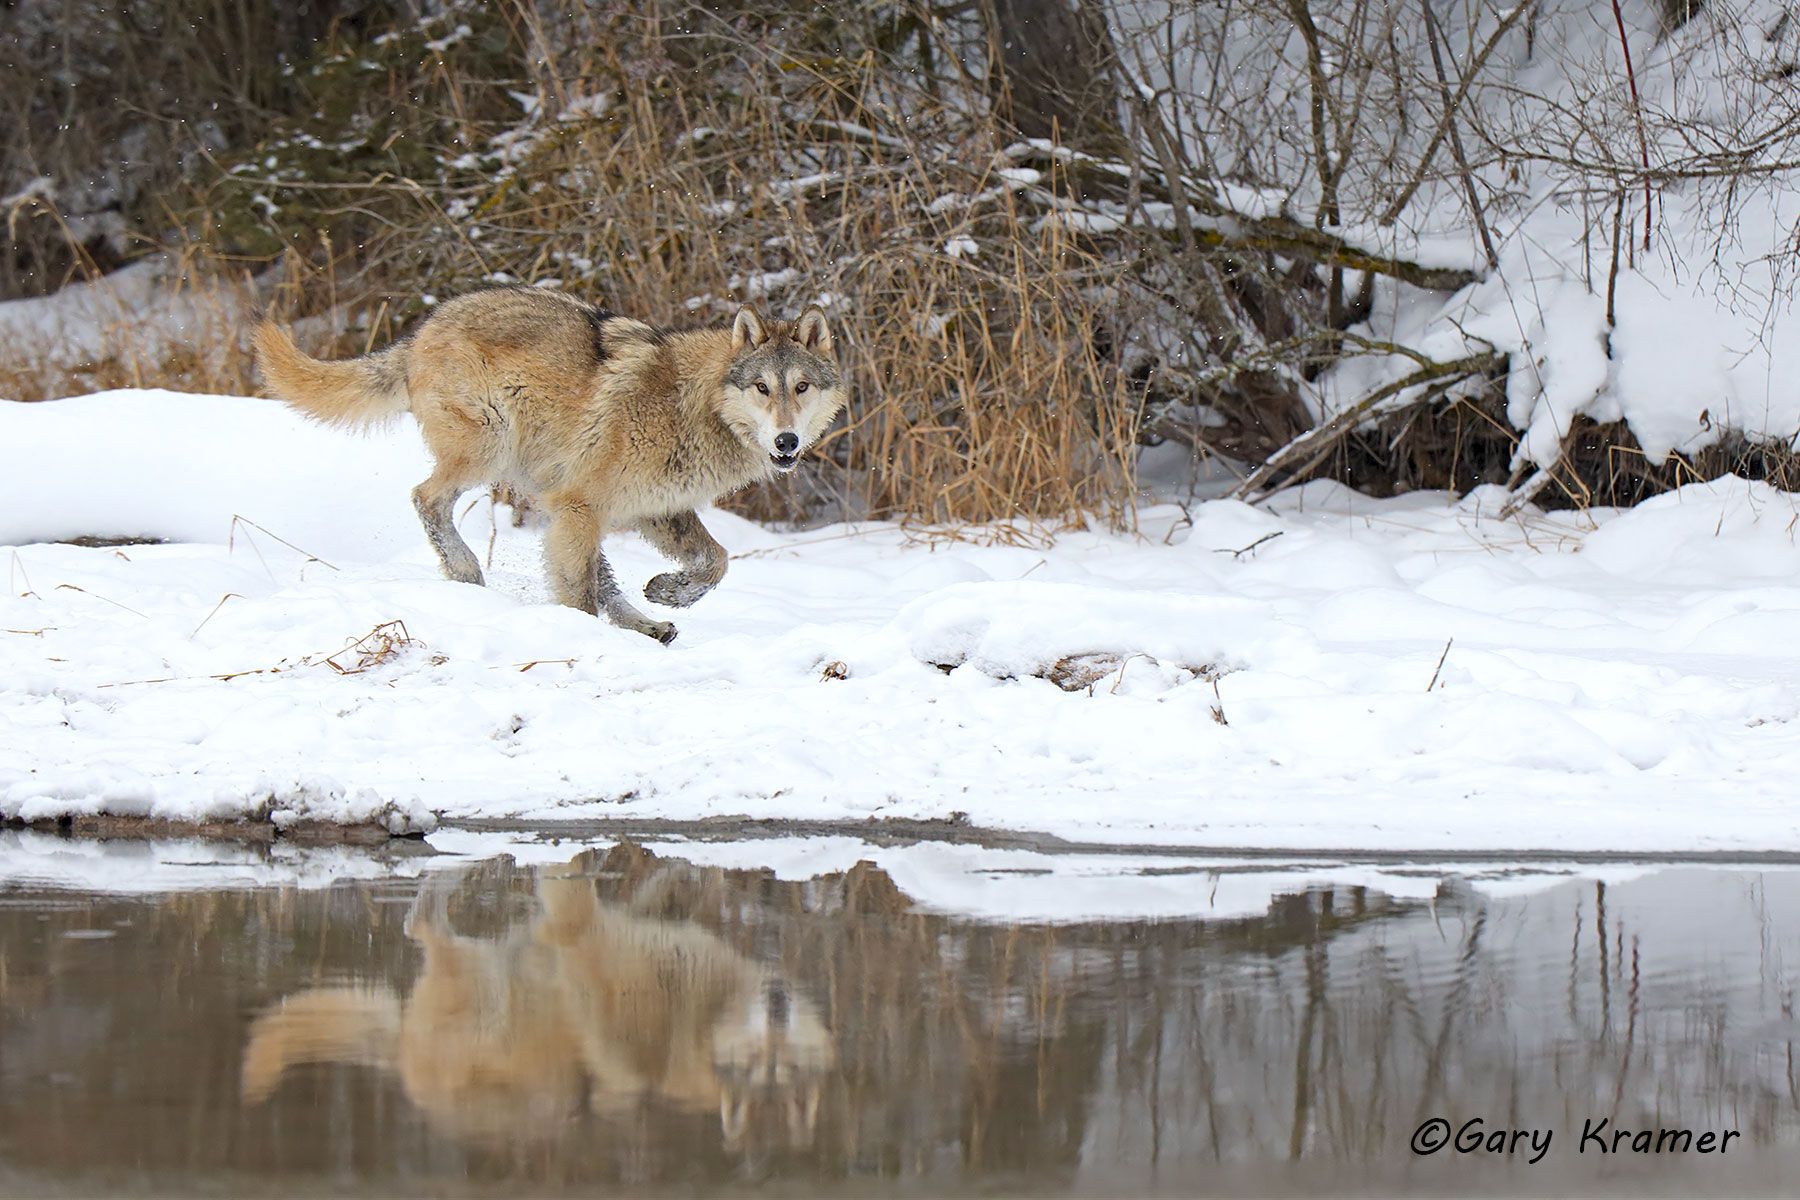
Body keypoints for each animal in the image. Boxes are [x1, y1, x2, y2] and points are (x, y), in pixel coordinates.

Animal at [253, 289, 847, 642]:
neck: (690, 405)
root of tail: (421, 330)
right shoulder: (581, 504)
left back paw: (650, 626)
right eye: (762, 388)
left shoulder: (656, 510)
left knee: (602, 578)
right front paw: (580, 642)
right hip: (491, 450)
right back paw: (465, 570)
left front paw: (668, 592)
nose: (788, 440)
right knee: (425, 497)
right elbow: (581, 594)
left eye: (801, 387)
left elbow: (716, 561)